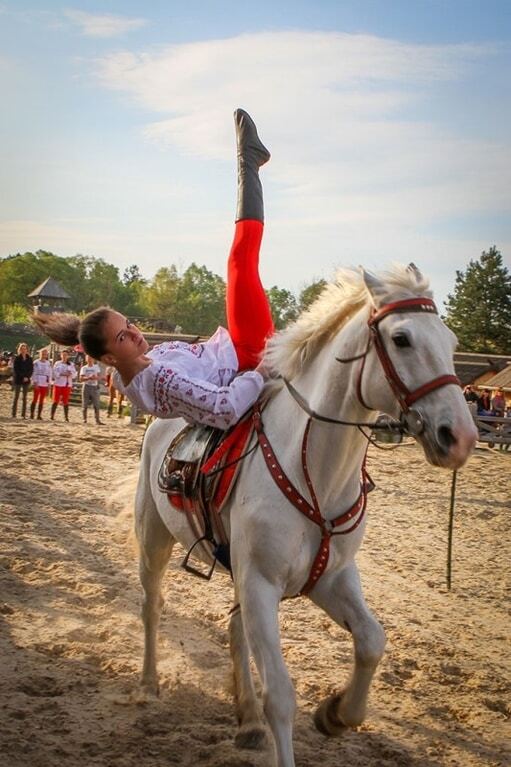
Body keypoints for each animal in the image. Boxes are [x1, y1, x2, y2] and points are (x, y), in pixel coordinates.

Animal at [134, 264, 478, 767]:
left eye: (451, 342)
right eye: (401, 339)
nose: (462, 437)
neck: (313, 469)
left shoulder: (330, 577)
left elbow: (372, 641)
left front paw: (335, 714)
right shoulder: (261, 582)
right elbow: (280, 694)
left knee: (235, 629)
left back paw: (248, 721)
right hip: (154, 539)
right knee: (152, 605)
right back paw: (149, 684)